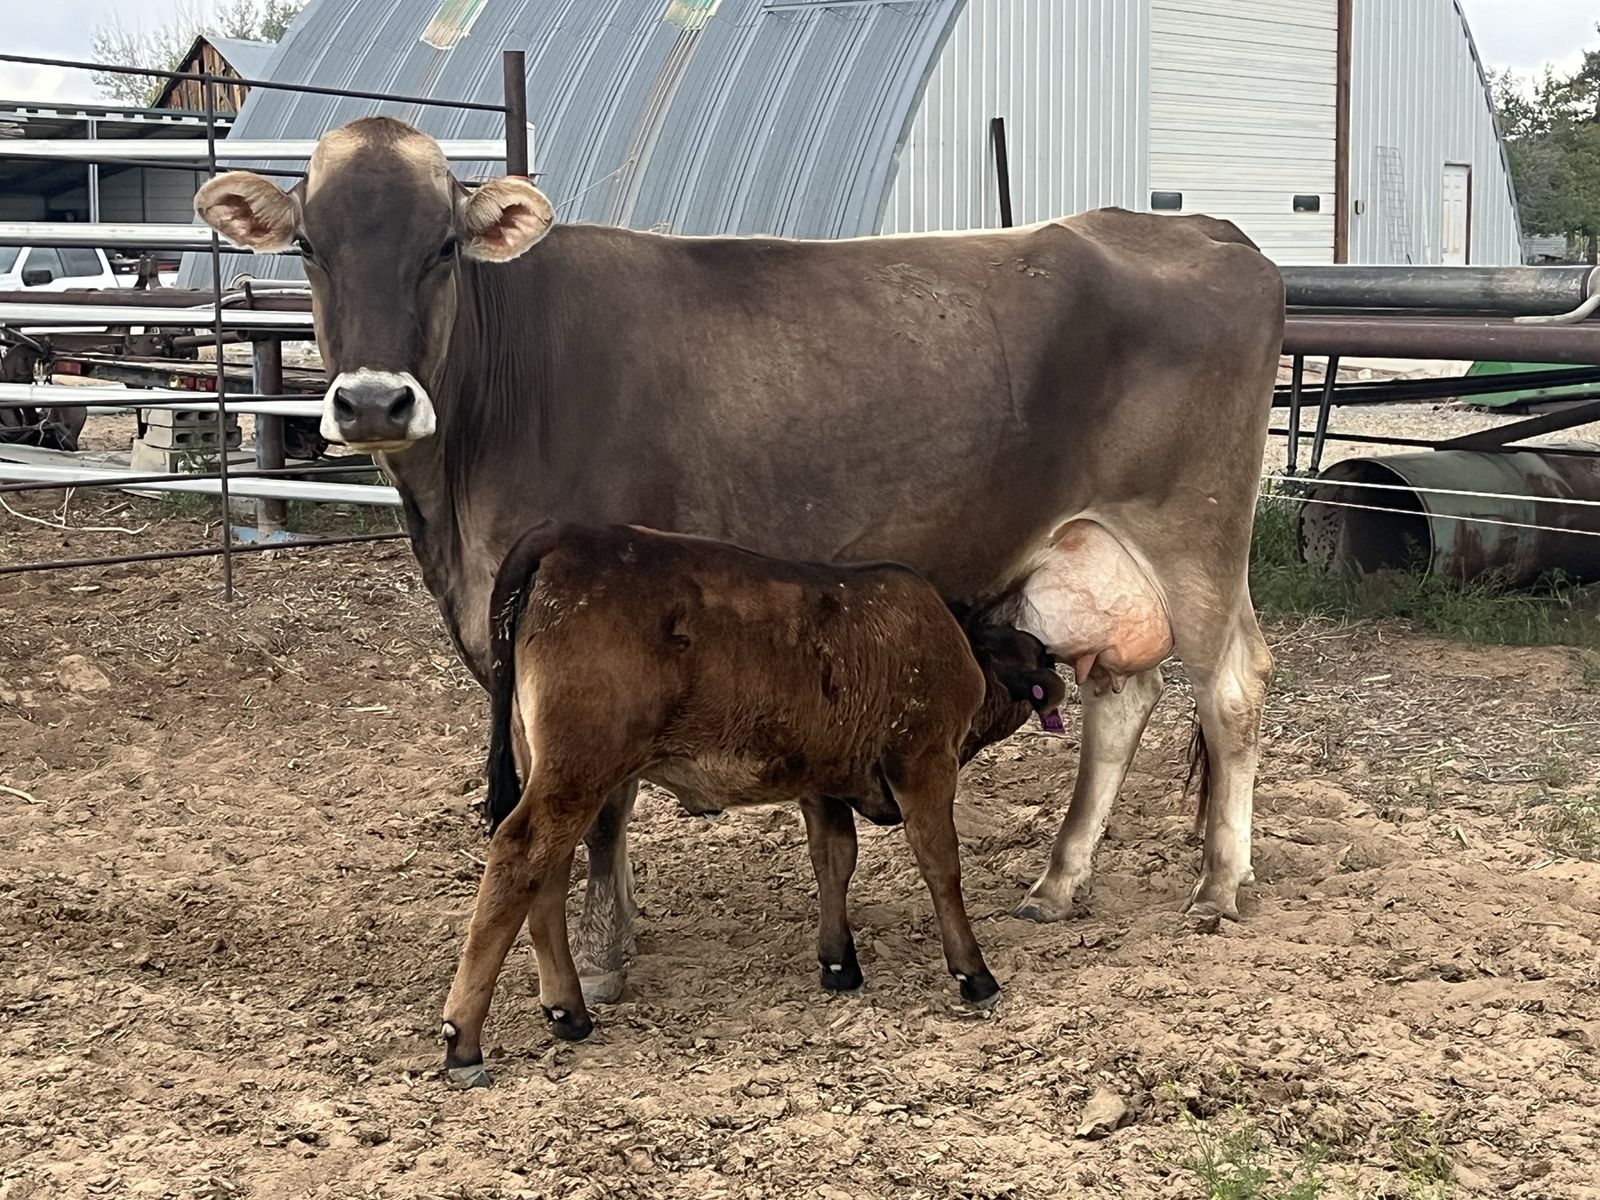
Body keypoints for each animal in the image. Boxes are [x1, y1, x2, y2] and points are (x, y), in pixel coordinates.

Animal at [194, 116, 1282, 1007]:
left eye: (440, 248)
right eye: (310, 246)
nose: (373, 400)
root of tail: (1202, 232)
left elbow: (605, 811)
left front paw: (603, 956)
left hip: (1196, 537)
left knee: (1228, 689)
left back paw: (1220, 884)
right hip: (1098, 554)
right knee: (1123, 697)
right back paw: (1060, 881)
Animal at [440, 521, 1066, 1082]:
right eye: (1037, 651)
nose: (1058, 666)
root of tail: (562, 536)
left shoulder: (822, 777)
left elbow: (834, 859)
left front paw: (838, 962)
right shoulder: (923, 760)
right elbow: (941, 865)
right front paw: (973, 973)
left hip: (552, 768)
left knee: (547, 869)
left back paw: (567, 1011)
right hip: (581, 764)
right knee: (521, 855)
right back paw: (464, 1040)